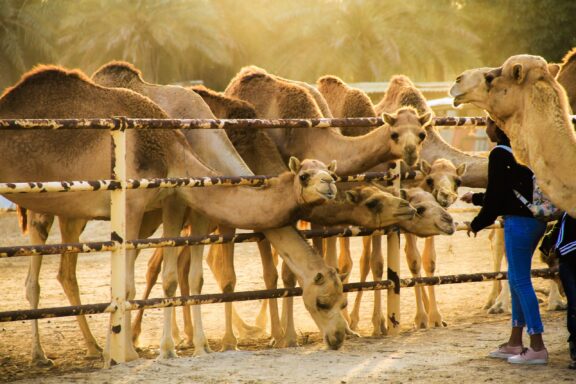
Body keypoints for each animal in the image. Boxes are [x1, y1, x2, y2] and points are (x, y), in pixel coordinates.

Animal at [1, 65, 352, 364]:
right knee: (40, 273)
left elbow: (190, 277)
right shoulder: (143, 204)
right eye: (322, 301)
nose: (338, 337)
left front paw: (198, 346)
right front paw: (140, 352)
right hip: (44, 203)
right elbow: (142, 282)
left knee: (66, 271)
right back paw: (44, 354)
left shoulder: (182, 204)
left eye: (343, 300)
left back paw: (94, 346)